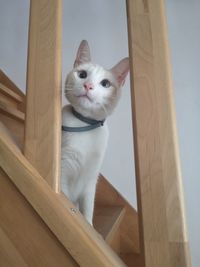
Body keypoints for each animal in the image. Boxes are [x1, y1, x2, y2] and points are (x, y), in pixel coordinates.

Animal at [61, 40, 130, 226]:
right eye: (82, 74)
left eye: (105, 83)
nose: (88, 85)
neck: (84, 124)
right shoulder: (63, 169)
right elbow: (64, 197)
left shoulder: (90, 181)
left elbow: (87, 209)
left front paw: (88, 225)